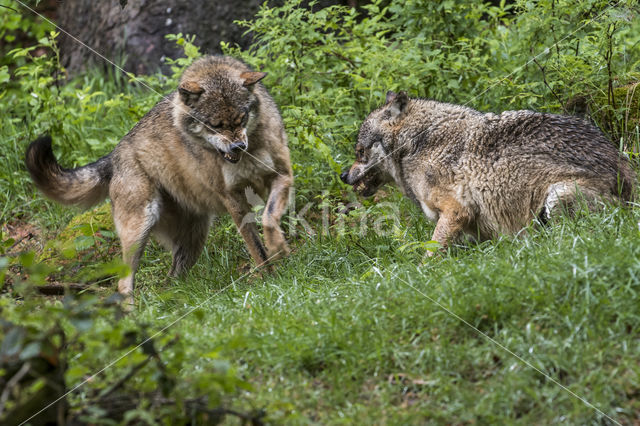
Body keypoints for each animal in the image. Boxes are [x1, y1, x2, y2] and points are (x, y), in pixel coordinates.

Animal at [25, 55, 292, 304]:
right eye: (215, 125)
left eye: (242, 118)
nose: (238, 147)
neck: (249, 154)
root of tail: (114, 154)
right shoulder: (233, 199)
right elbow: (256, 248)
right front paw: (270, 277)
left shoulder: (284, 178)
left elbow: (269, 219)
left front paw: (278, 250)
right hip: (140, 227)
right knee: (123, 283)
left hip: (194, 238)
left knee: (171, 280)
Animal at [340, 89, 636, 250]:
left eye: (360, 152)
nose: (343, 175)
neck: (417, 144)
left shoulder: (456, 210)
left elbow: (429, 254)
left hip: (556, 196)